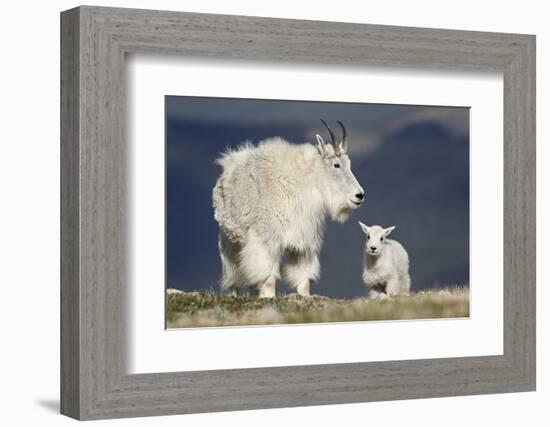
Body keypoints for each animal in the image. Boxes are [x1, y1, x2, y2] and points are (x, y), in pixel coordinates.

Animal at [215, 121, 366, 298]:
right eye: (336, 164)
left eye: (349, 164)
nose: (359, 195)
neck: (301, 184)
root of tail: (229, 165)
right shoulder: (266, 240)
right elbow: (268, 276)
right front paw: (269, 297)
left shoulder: (304, 242)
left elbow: (303, 277)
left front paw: (304, 296)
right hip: (229, 239)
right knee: (233, 270)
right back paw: (233, 294)